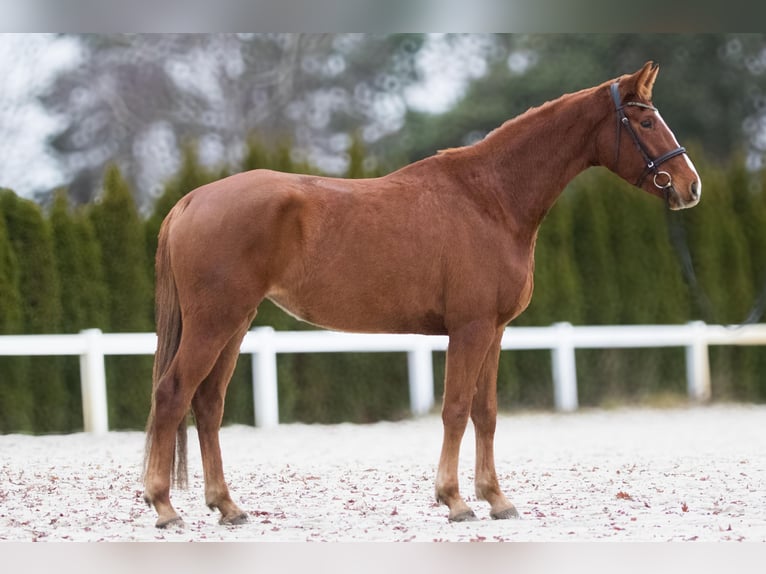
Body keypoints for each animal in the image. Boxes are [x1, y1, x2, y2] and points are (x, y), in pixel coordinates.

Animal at [142, 62, 704, 528]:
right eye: (646, 123)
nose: (690, 186)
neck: (489, 198)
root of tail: (192, 200)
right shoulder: (470, 328)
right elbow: (455, 408)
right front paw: (454, 500)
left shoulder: (494, 331)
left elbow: (486, 412)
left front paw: (496, 499)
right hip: (215, 322)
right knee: (173, 394)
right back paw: (165, 507)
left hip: (235, 324)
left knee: (207, 404)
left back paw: (227, 506)